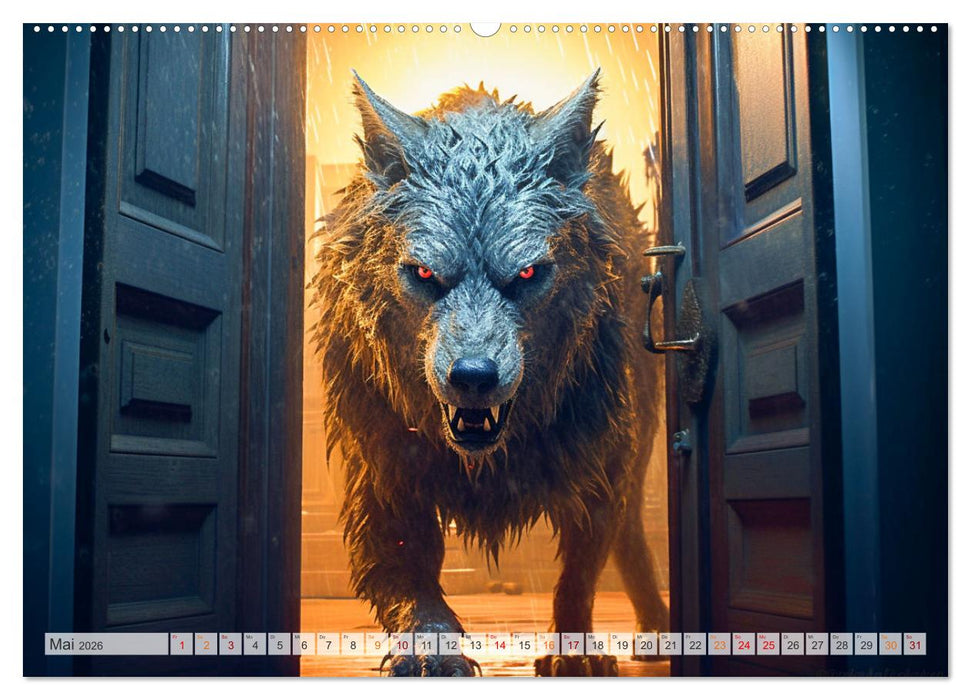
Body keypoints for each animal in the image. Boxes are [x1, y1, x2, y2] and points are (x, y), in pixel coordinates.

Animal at [310, 69, 668, 676]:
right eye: (424, 273)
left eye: (526, 274)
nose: (473, 376)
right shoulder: (383, 475)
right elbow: (412, 582)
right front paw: (433, 655)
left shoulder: (599, 472)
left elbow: (578, 575)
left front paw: (572, 653)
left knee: (630, 532)